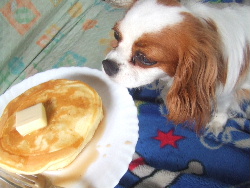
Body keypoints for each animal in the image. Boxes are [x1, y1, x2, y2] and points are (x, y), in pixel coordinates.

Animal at [101, 0, 250, 135]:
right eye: (116, 35)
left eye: (145, 59)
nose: (108, 65)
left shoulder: (227, 91)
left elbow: (222, 107)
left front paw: (217, 122)